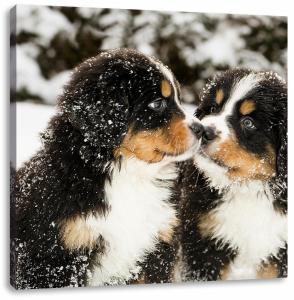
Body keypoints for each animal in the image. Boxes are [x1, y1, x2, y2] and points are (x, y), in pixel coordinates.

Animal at [179, 68, 288, 282]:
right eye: (213, 108)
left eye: (248, 122)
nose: (204, 131)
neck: (247, 189)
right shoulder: (205, 242)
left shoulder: (279, 250)